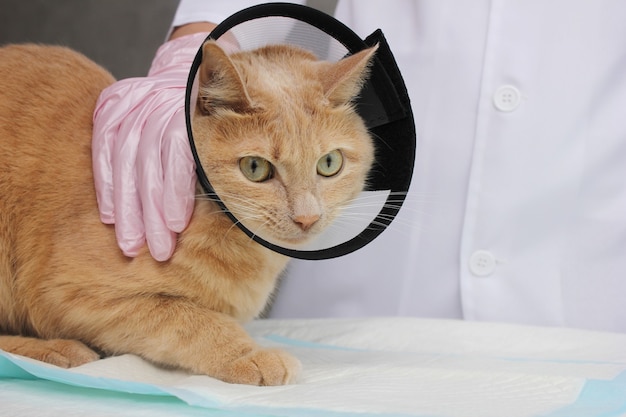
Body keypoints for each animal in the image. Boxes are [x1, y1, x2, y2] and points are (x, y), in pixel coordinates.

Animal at [0, 40, 372, 386]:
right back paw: (55, 349)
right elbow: (189, 319)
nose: (307, 217)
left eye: (329, 163)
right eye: (255, 167)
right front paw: (248, 355)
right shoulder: (72, 293)